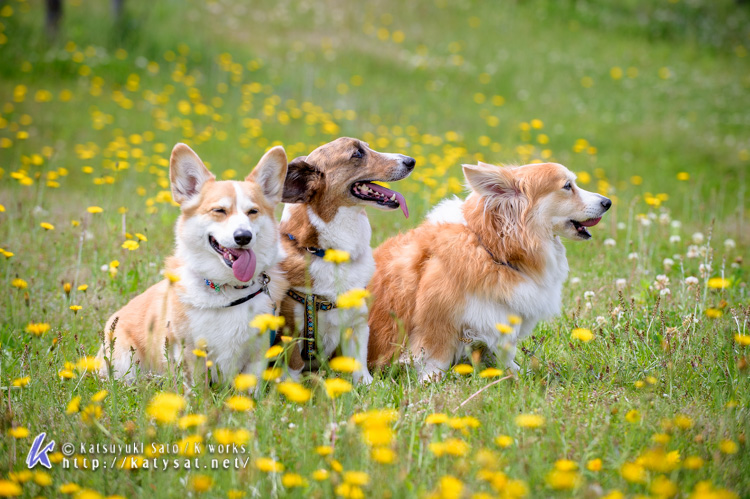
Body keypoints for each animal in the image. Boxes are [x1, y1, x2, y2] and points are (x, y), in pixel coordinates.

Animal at [97, 143, 290, 384]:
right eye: (219, 211)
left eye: (253, 212)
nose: (243, 237)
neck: (227, 289)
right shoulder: (189, 353)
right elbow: (196, 387)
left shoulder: (257, 354)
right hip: (124, 363)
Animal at [280, 139, 418, 384]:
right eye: (357, 153)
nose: (411, 161)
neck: (332, 254)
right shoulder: (292, 328)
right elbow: (294, 366)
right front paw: (292, 388)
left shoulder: (358, 323)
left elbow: (359, 364)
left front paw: (367, 384)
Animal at [368, 162, 612, 380]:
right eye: (567, 186)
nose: (608, 202)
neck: (492, 249)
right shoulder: (436, 323)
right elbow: (436, 360)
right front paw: (431, 383)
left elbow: (504, 354)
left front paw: (518, 373)